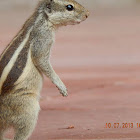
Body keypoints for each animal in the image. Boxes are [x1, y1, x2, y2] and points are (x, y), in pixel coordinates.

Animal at [0, 0, 89, 139]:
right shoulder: (43, 39)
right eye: (69, 7)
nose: (87, 14)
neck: (42, 19)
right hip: (27, 109)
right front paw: (61, 86)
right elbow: (42, 61)